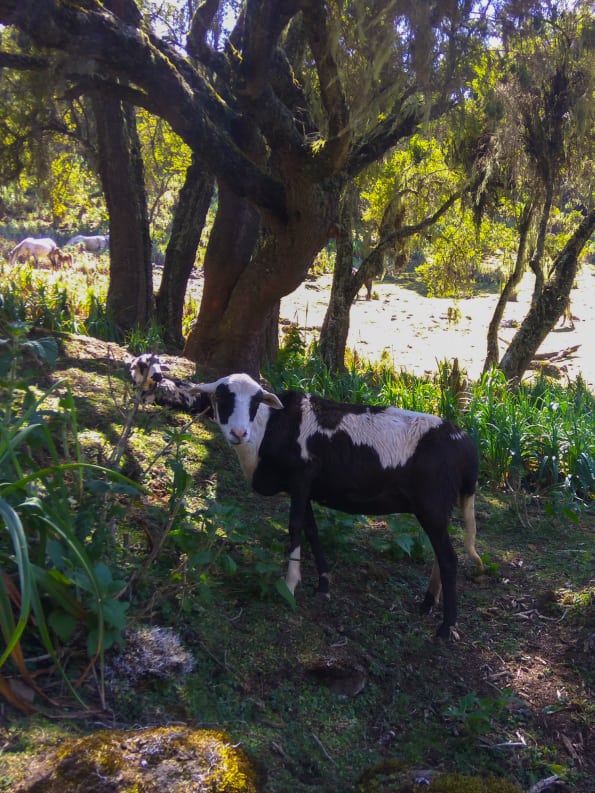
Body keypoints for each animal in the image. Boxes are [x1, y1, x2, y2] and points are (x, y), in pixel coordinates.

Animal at [132, 356, 484, 640]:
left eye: (256, 402)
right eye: (222, 397)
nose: (238, 433)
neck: (267, 431)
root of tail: (466, 445)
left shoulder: (301, 479)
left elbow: (294, 528)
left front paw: (289, 585)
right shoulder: (304, 487)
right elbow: (312, 530)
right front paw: (324, 584)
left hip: (432, 505)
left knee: (450, 559)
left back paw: (446, 627)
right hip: (438, 508)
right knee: (441, 554)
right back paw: (427, 603)